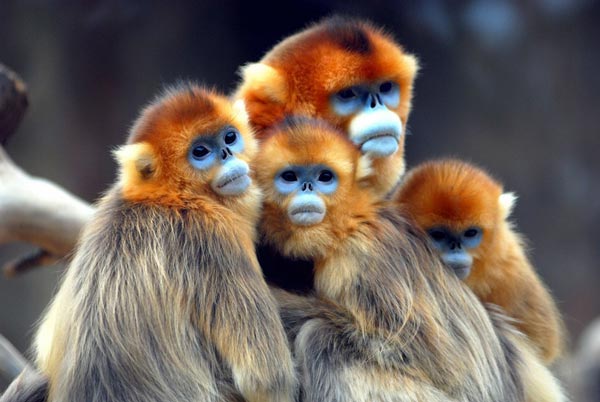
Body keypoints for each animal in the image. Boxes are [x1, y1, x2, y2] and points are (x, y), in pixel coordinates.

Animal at [32, 82, 296, 402]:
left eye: (230, 137)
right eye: (200, 152)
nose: (227, 154)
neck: (170, 198)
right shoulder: (212, 236)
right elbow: (266, 379)